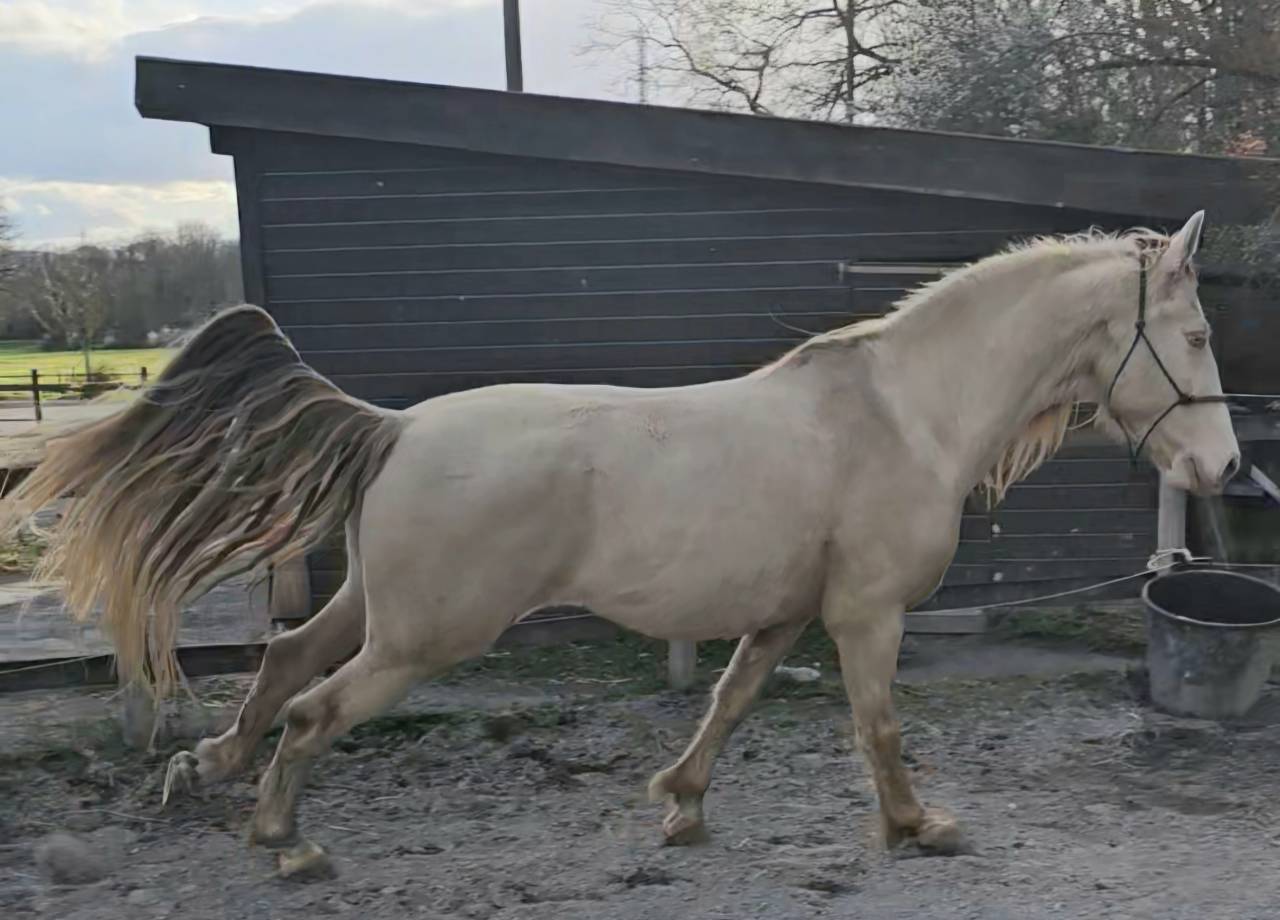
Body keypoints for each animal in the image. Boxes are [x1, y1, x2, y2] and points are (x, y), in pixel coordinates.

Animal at [1, 211, 1239, 868]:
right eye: (1193, 333)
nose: (1223, 467)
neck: (903, 414)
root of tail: (397, 426)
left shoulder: (784, 613)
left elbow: (726, 704)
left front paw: (678, 801)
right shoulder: (864, 613)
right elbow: (877, 724)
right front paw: (914, 824)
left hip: (377, 607)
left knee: (284, 657)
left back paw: (208, 767)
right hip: (424, 636)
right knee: (312, 706)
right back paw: (279, 832)